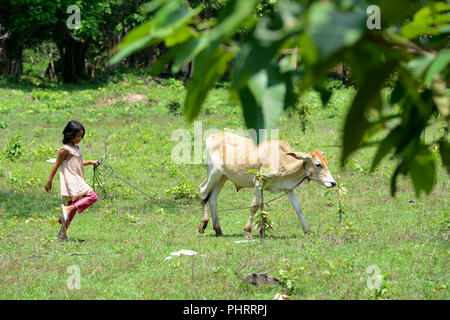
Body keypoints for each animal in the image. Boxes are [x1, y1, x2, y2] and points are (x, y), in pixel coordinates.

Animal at [199, 131, 336, 238]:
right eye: (318, 164)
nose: (333, 183)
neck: (283, 160)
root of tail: (212, 137)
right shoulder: (258, 181)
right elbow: (254, 206)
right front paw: (247, 231)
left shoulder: (288, 189)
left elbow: (298, 208)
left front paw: (307, 231)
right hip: (214, 172)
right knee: (203, 191)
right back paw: (202, 225)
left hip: (223, 177)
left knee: (212, 198)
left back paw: (218, 230)